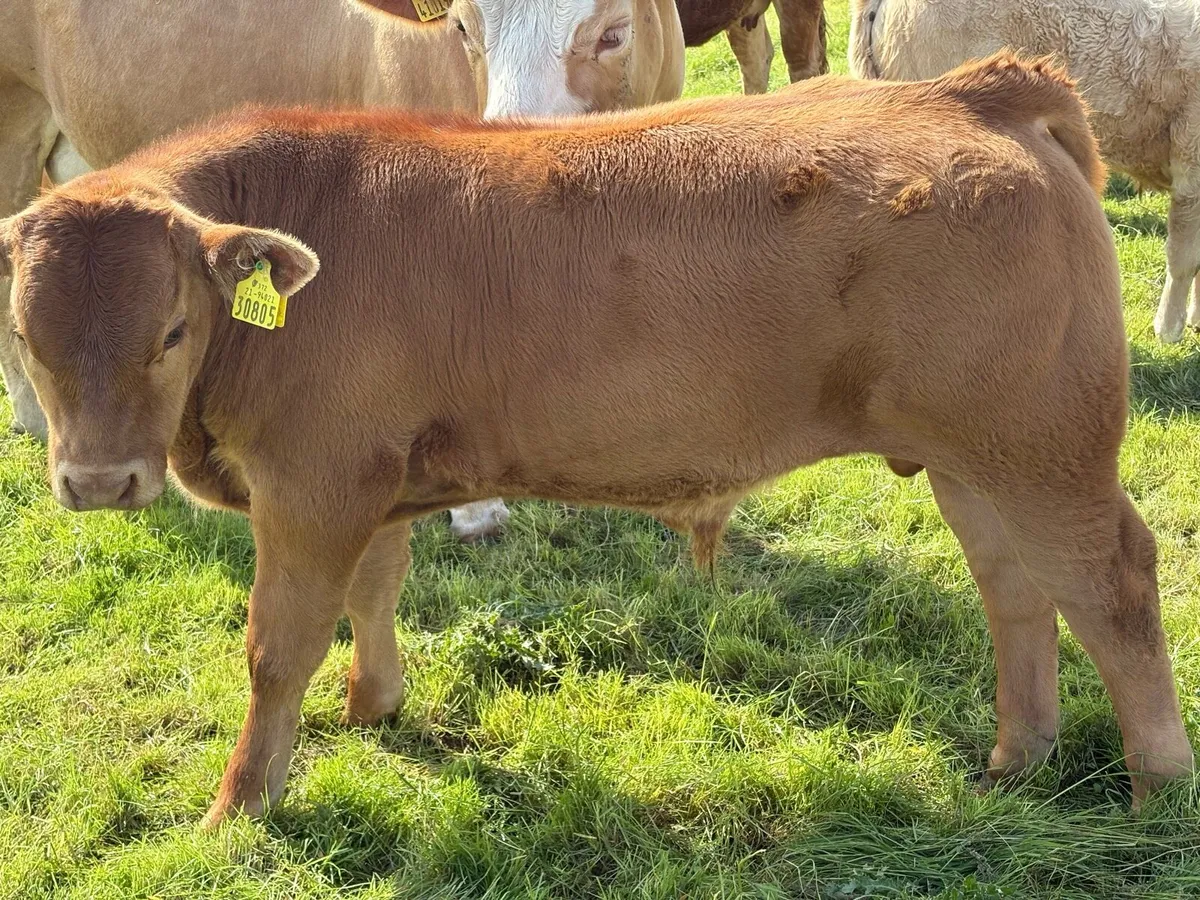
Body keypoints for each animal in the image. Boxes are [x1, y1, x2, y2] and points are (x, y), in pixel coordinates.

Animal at [1, 55, 1192, 826]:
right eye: (23, 333)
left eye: (170, 330)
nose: (98, 482)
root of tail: (970, 89)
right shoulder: (370, 482)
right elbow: (376, 592)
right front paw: (375, 707)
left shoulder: (312, 486)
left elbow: (276, 649)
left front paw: (237, 808)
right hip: (971, 460)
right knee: (1017, 589)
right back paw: (1016, 761)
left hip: (1043, 448)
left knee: (1113, 585)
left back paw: (1159, 789)